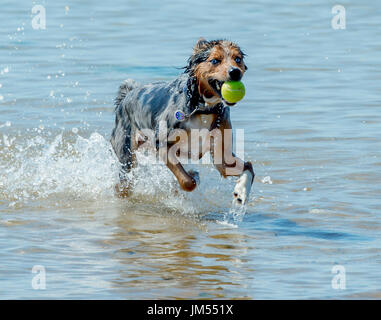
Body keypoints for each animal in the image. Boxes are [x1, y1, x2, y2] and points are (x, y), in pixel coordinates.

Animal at [110, 38, 254, 205]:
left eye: (238, 59)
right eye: (215, 60)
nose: (235, 72)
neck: (203, 109)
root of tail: (126, 97)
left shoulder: (221, 155)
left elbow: (248, 166)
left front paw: (241, 192)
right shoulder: (163, 144)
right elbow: (188, 182)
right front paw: (193, 176)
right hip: (126, 155)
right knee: (123, 183)